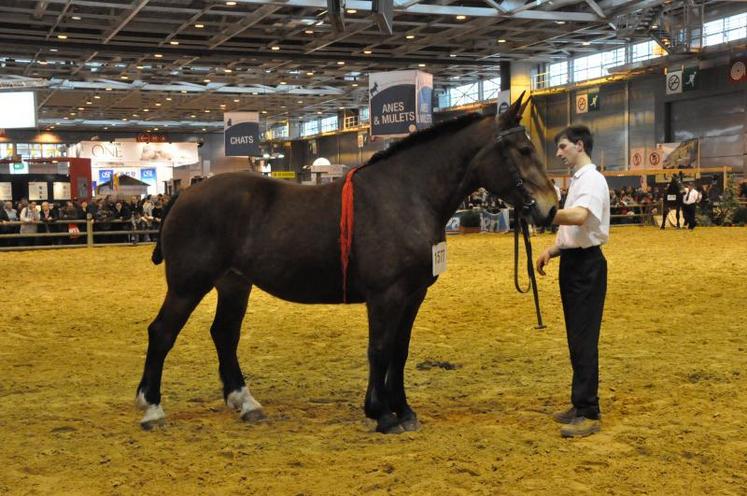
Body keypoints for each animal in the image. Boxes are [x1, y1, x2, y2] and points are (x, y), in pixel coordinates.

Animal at [134, 94, 560, 434]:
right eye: (523, 151)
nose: (550, 208)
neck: (406, 195)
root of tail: (185, 196)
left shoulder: (413, 295)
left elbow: (400, 351)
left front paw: (404, 410)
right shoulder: (386, 295)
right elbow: (380, 349)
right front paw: (381, 414)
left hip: (234, 283)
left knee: (224, 334)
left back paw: (246, 403)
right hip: (189, 285)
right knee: (162, 333)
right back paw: (152, 408)